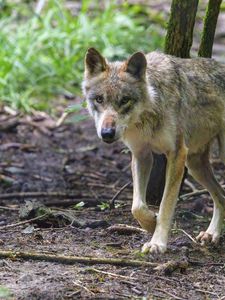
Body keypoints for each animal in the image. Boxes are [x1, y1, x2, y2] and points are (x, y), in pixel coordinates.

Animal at [82, 48, 225, 254]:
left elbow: (166, 205)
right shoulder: (141, 155)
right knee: (221, 196)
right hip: (195, 165)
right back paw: (212, 234)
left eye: (125, 100)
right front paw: (150, 223)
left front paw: (157, 243)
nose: (107, 133)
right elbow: (137, 206)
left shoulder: (177, 154)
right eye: (99, 99)